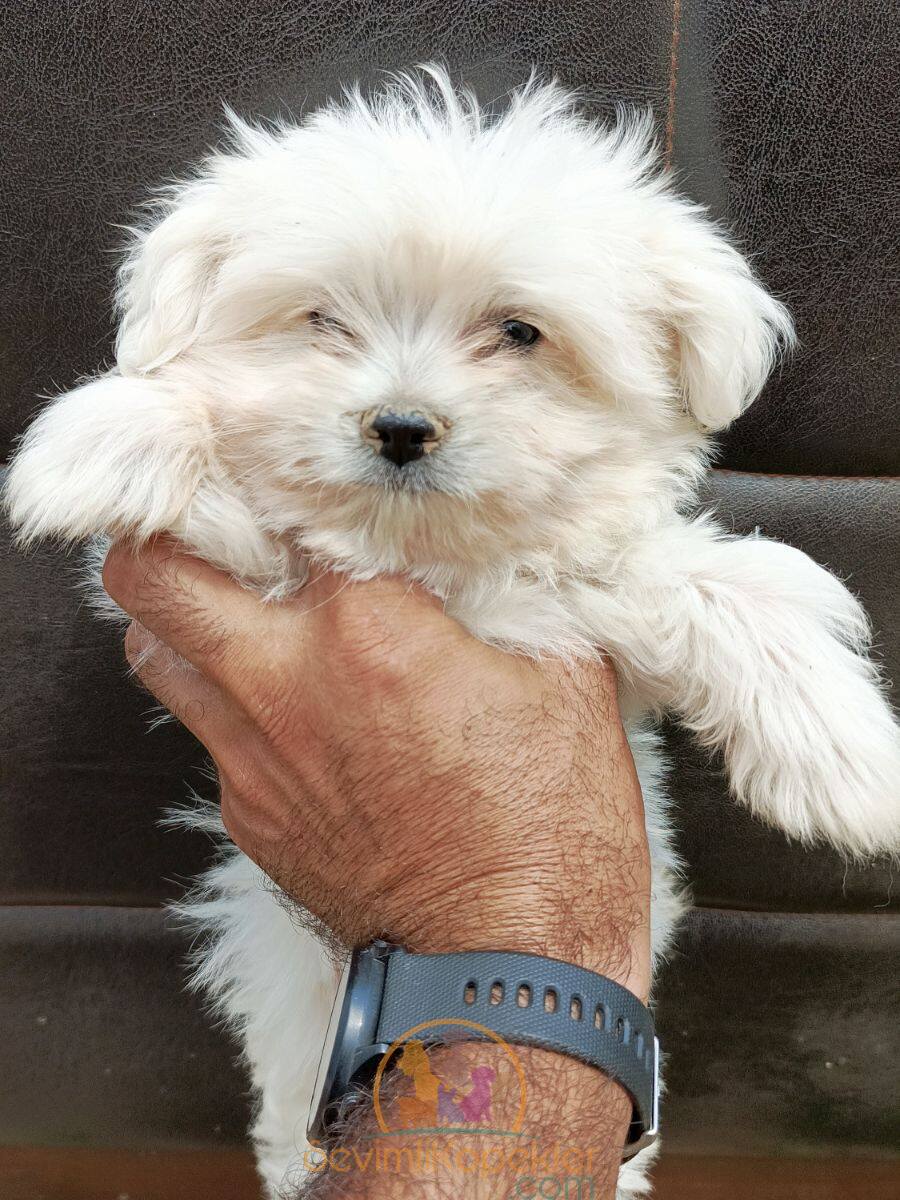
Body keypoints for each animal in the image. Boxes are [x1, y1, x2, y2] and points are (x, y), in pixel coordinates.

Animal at [7, 68, 900, 1200]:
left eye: (519, 332)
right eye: (321, 319)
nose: (399, 426)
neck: (423, 556)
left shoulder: (580, 605)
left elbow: (713, 585)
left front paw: (847, 761)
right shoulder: (260, 570)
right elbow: (228, 486)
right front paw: (110, 435)